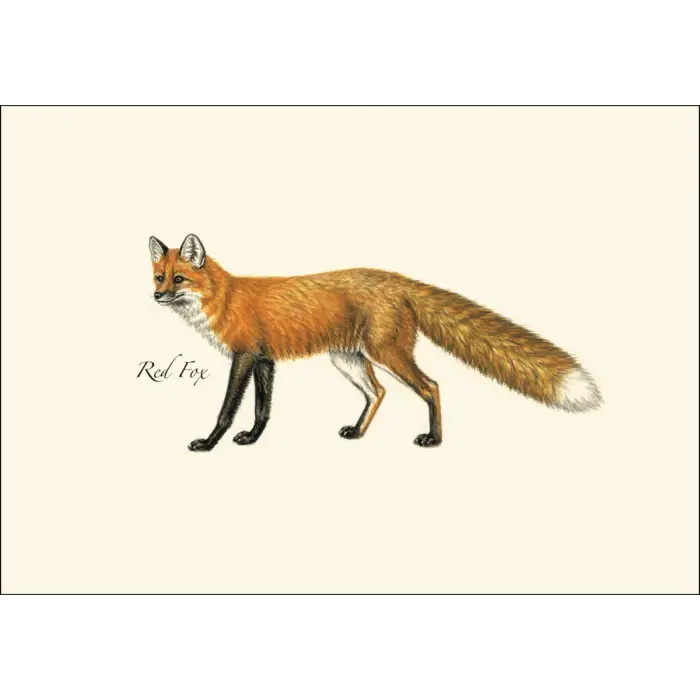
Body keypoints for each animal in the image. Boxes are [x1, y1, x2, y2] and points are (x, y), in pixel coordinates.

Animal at [149, 234, 602, 450]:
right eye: (159, 276)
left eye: (179, 279)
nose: (156, 296)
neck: (224, 298)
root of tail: (400, 279)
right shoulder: (265, 360)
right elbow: (263, 410)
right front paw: (252, 440)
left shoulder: (244, 356)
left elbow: (227, 410)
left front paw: (209, 443)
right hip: (349, 359)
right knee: (378, 392)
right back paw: (358, 432)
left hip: (387, 354)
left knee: (431, 386)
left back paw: (434, 440)